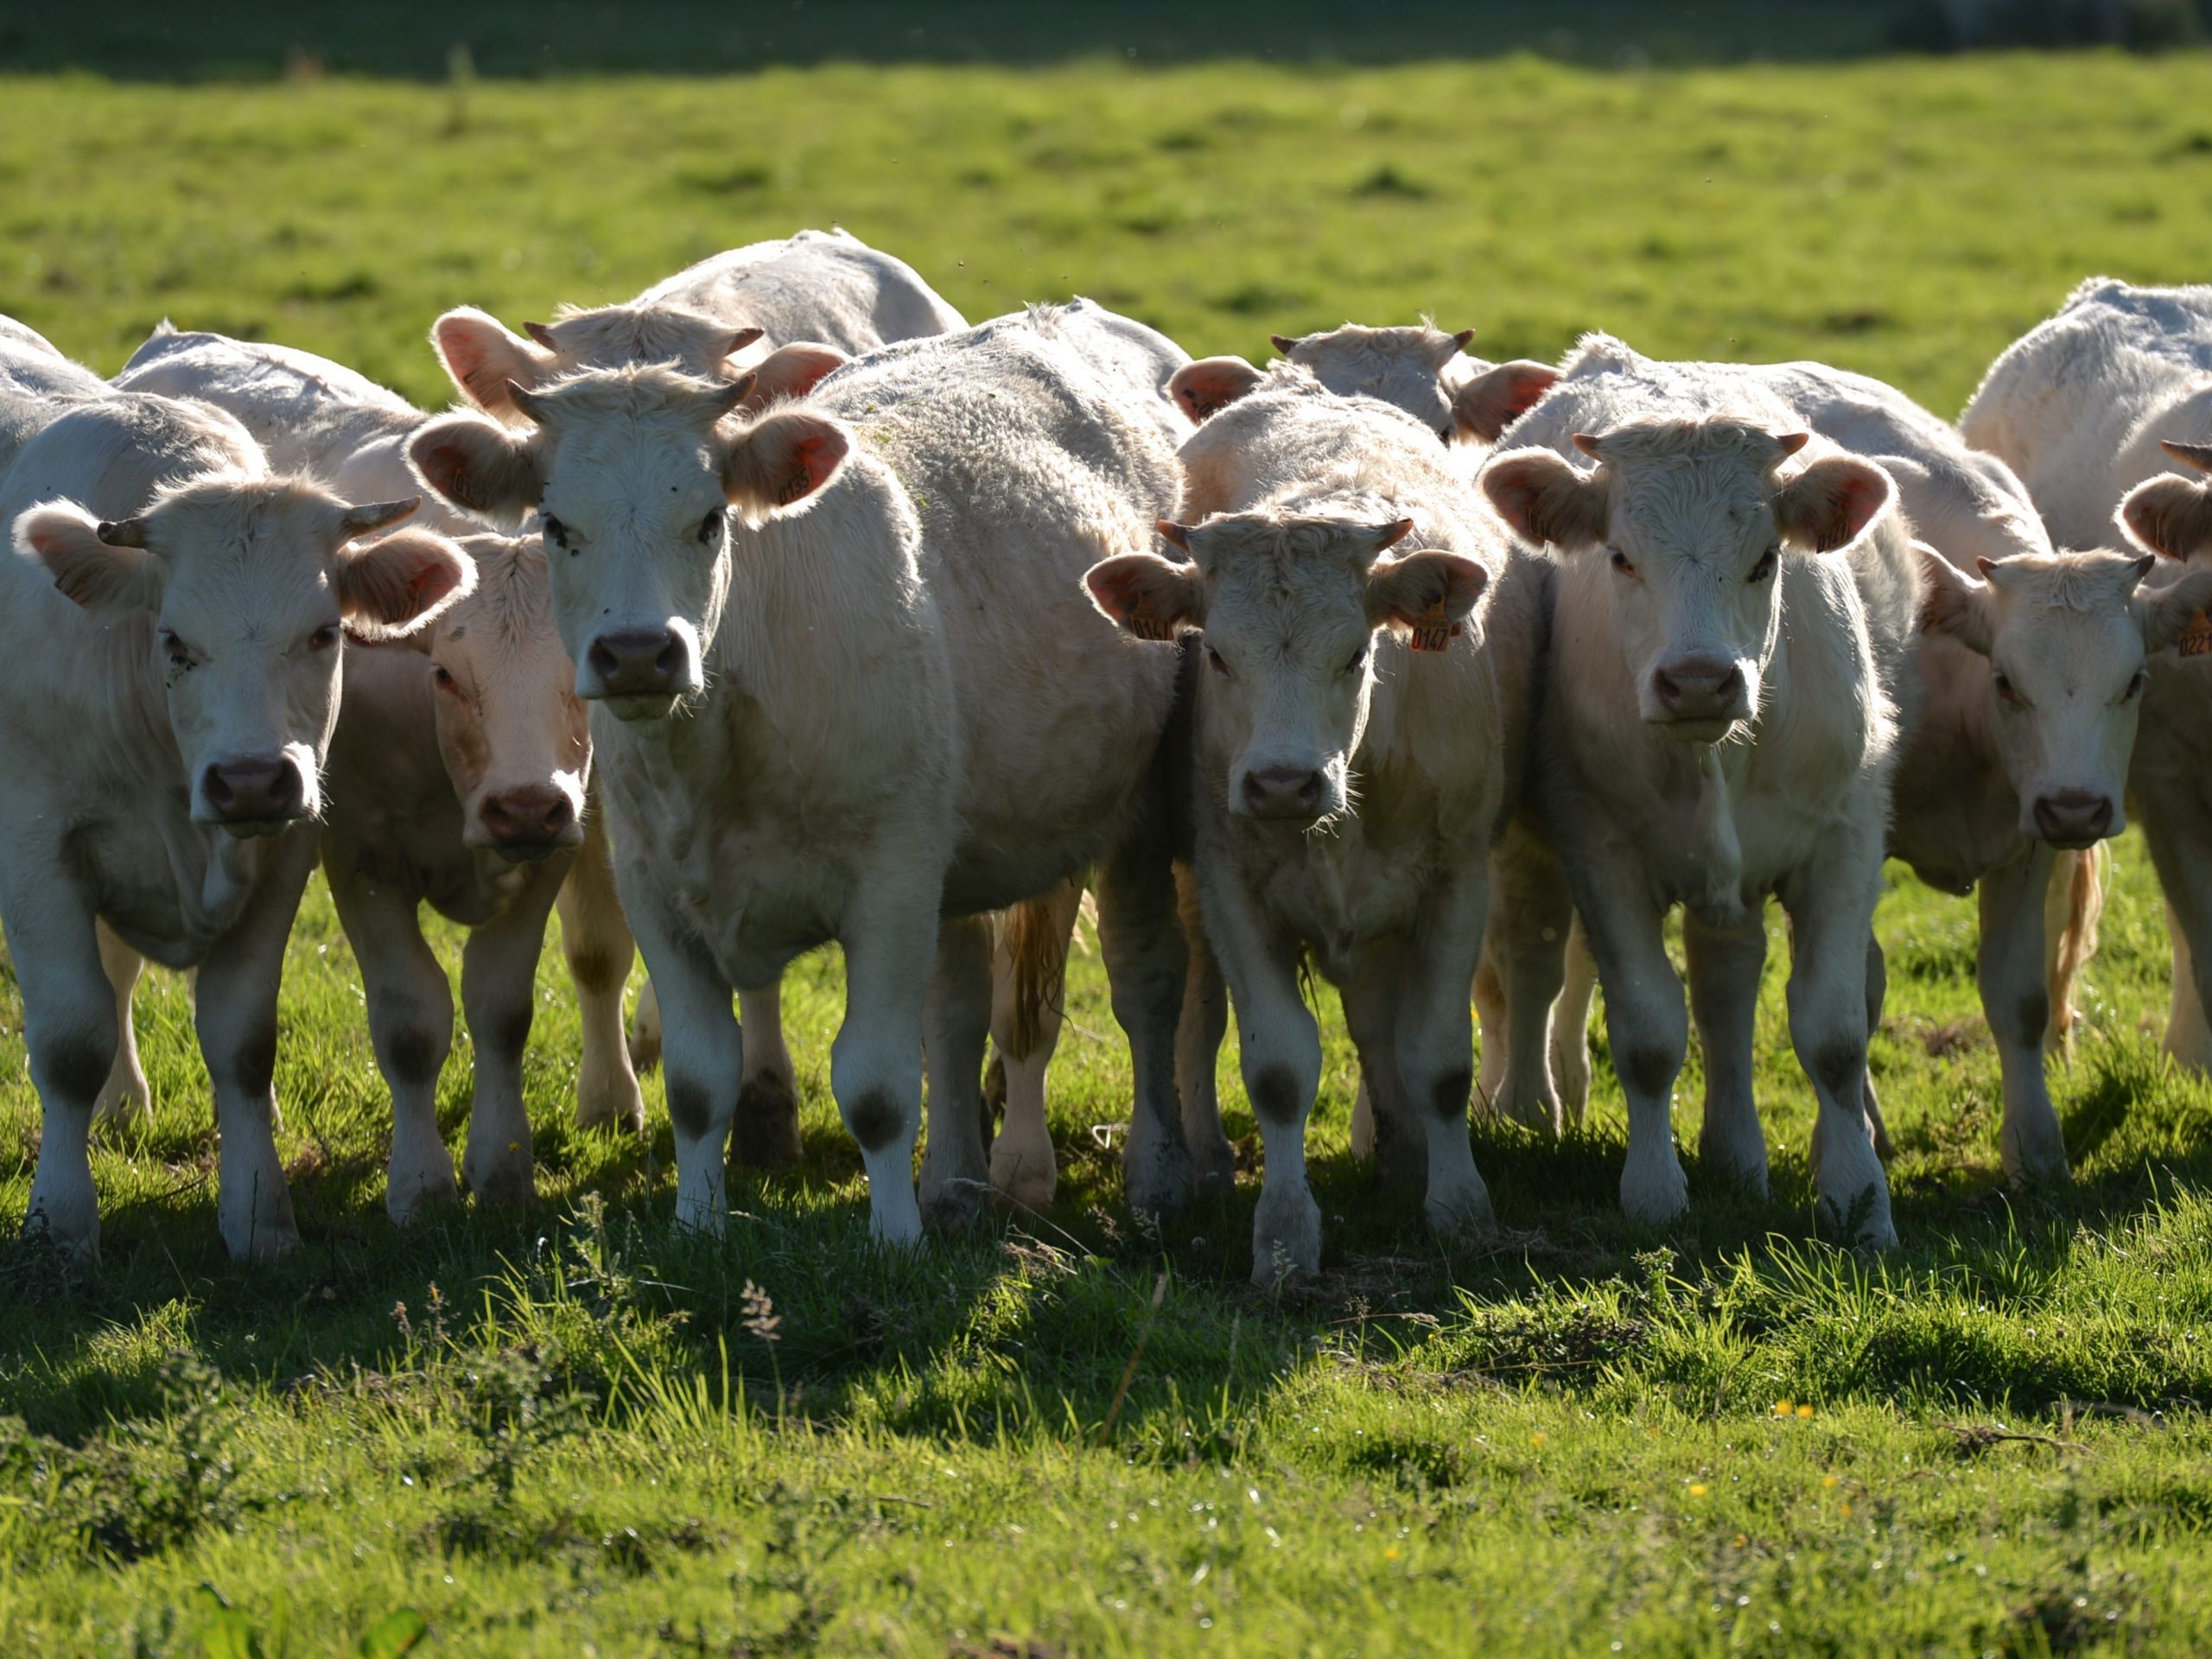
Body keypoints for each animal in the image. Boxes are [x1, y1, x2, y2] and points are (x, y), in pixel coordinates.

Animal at [2, 389, 471, 1265]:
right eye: (173, 640)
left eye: (325, 633)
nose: (250, 778)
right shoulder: (35, 853)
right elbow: (70, 1043)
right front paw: (61, 1223)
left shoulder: (283, 852)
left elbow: (241, 1041)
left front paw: (259, 1216)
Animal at [411, 318, 1211, 1238]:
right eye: (555, 525)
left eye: (710, 520)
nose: (639, 652)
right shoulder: (655, 891)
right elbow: (698, 1082)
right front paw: (697, 1225)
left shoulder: (891, 886)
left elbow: (878, 1088)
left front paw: (895, 1240)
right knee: (960, 1007)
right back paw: (955, 1187)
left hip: (1136, 822)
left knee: (1146, 988)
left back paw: (1153, 1177)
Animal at [1084, 380, 1539, 1282]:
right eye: (1215, 655)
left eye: (1358, 653)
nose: (1283, 783)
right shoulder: (1230, 887)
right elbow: (1278, 1070)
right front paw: (1286, 1236)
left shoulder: (1457, 884)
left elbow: (1437, 1058)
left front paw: (1457, 1204)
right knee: (1192, 1009)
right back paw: (1202, 1161)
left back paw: (1403, 1155)